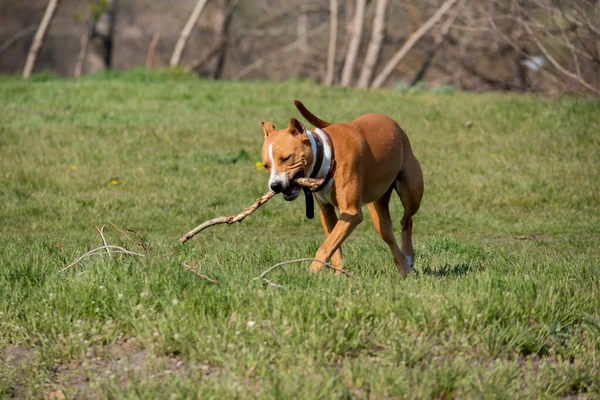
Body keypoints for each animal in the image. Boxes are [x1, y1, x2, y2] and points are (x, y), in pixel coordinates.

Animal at [260, 101, 424, 276]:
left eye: (286, 158)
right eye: (266, 165)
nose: (275, 186)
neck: (325, 156)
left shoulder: (351, 212)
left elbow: (325, 246)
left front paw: (313, 271)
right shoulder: (327, 212)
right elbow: (333, 245)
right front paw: (339, 274)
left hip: (411, 192)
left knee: (407, 219)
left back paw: (408, 256)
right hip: (378, 204)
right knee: (387, 233)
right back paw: (404, 268)